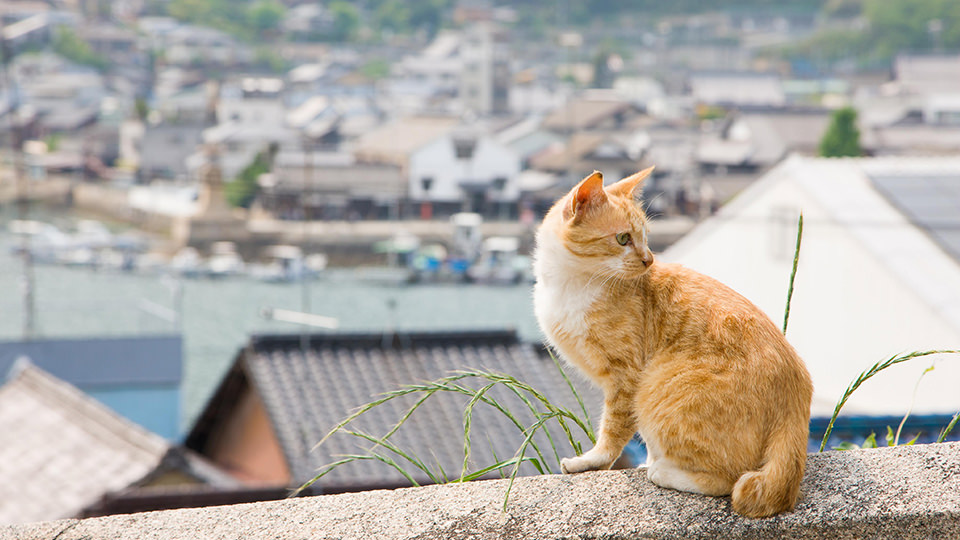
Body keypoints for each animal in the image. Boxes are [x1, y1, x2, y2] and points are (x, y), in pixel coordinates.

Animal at [536, 169, 812, 520]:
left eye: (644, 237)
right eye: (623, 239)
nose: (649, 260)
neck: (570, 285)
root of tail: (796, 392)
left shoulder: (627, 378)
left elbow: (613, 430)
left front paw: (592, 461)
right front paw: (649, 459)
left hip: (657, 389)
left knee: (728, 477)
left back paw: (664, 472)